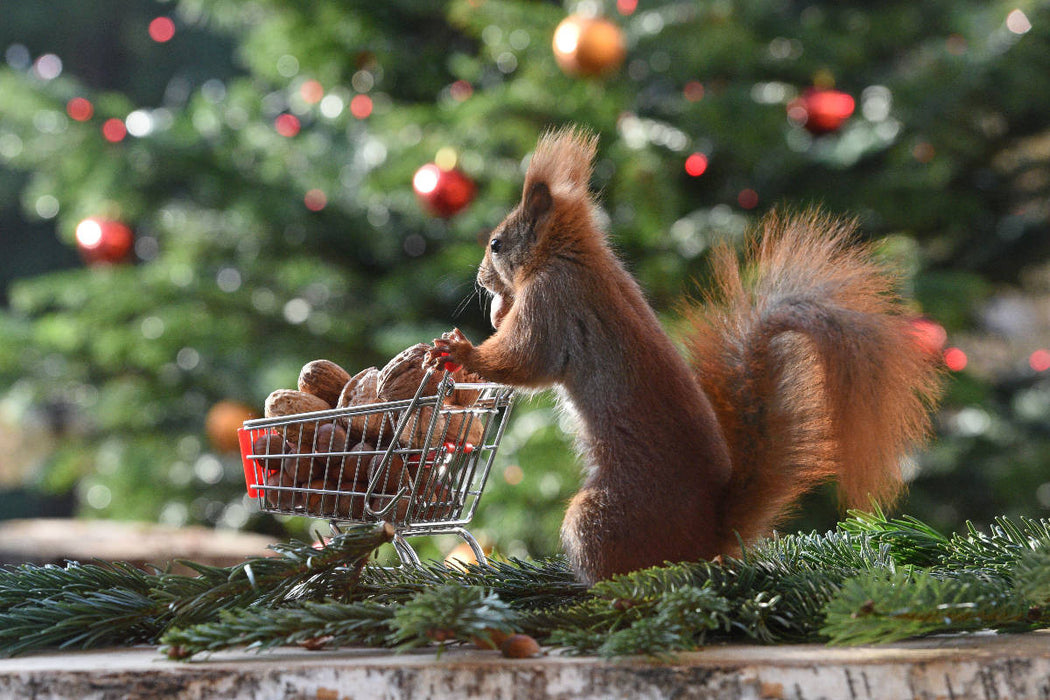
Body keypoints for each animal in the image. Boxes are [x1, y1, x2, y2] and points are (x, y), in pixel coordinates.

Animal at [425, 126, 943, 585]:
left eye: (496, 244)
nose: (481, 279)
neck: (572, 256)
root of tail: (709, 537)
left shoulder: (554, 303)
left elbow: (525, 360)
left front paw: (462, 350)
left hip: (598, 517)